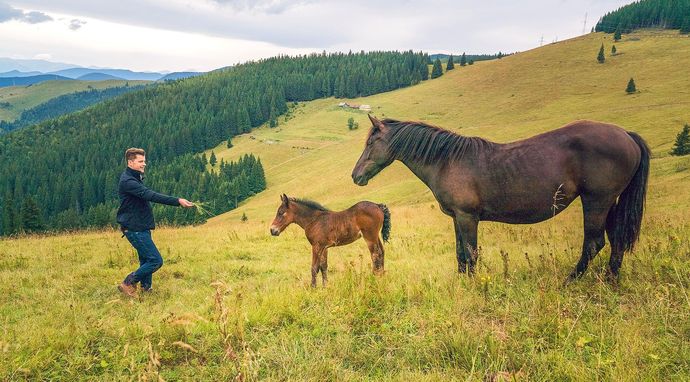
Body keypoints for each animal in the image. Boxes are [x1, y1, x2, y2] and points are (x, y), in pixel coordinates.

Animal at [352, 115, 648, 282]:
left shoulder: (467, 217)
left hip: (596, 202)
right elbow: (460, 253)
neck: (447, 160)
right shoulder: (457, 218)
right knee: (616, 239)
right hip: (609, 202)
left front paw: (473, 285)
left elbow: (471, 253)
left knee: (594, 243)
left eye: (370, 143)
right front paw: (462, 282)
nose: (355, 176)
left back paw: (570, 280)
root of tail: (626, 134)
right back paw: (610, 279)